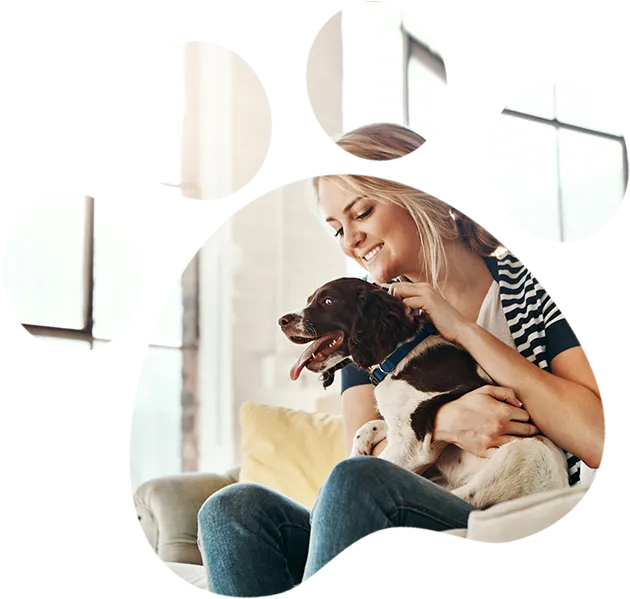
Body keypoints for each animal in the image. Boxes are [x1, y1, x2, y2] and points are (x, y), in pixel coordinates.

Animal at [278, 278, 572, 508]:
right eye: (310, 300)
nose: (282, 320)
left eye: (328, 301)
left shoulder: (411, 446)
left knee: (468, 499)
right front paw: (358, 448)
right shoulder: (400, 422)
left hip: (521, 455)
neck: (399, 355)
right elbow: (369, 426)